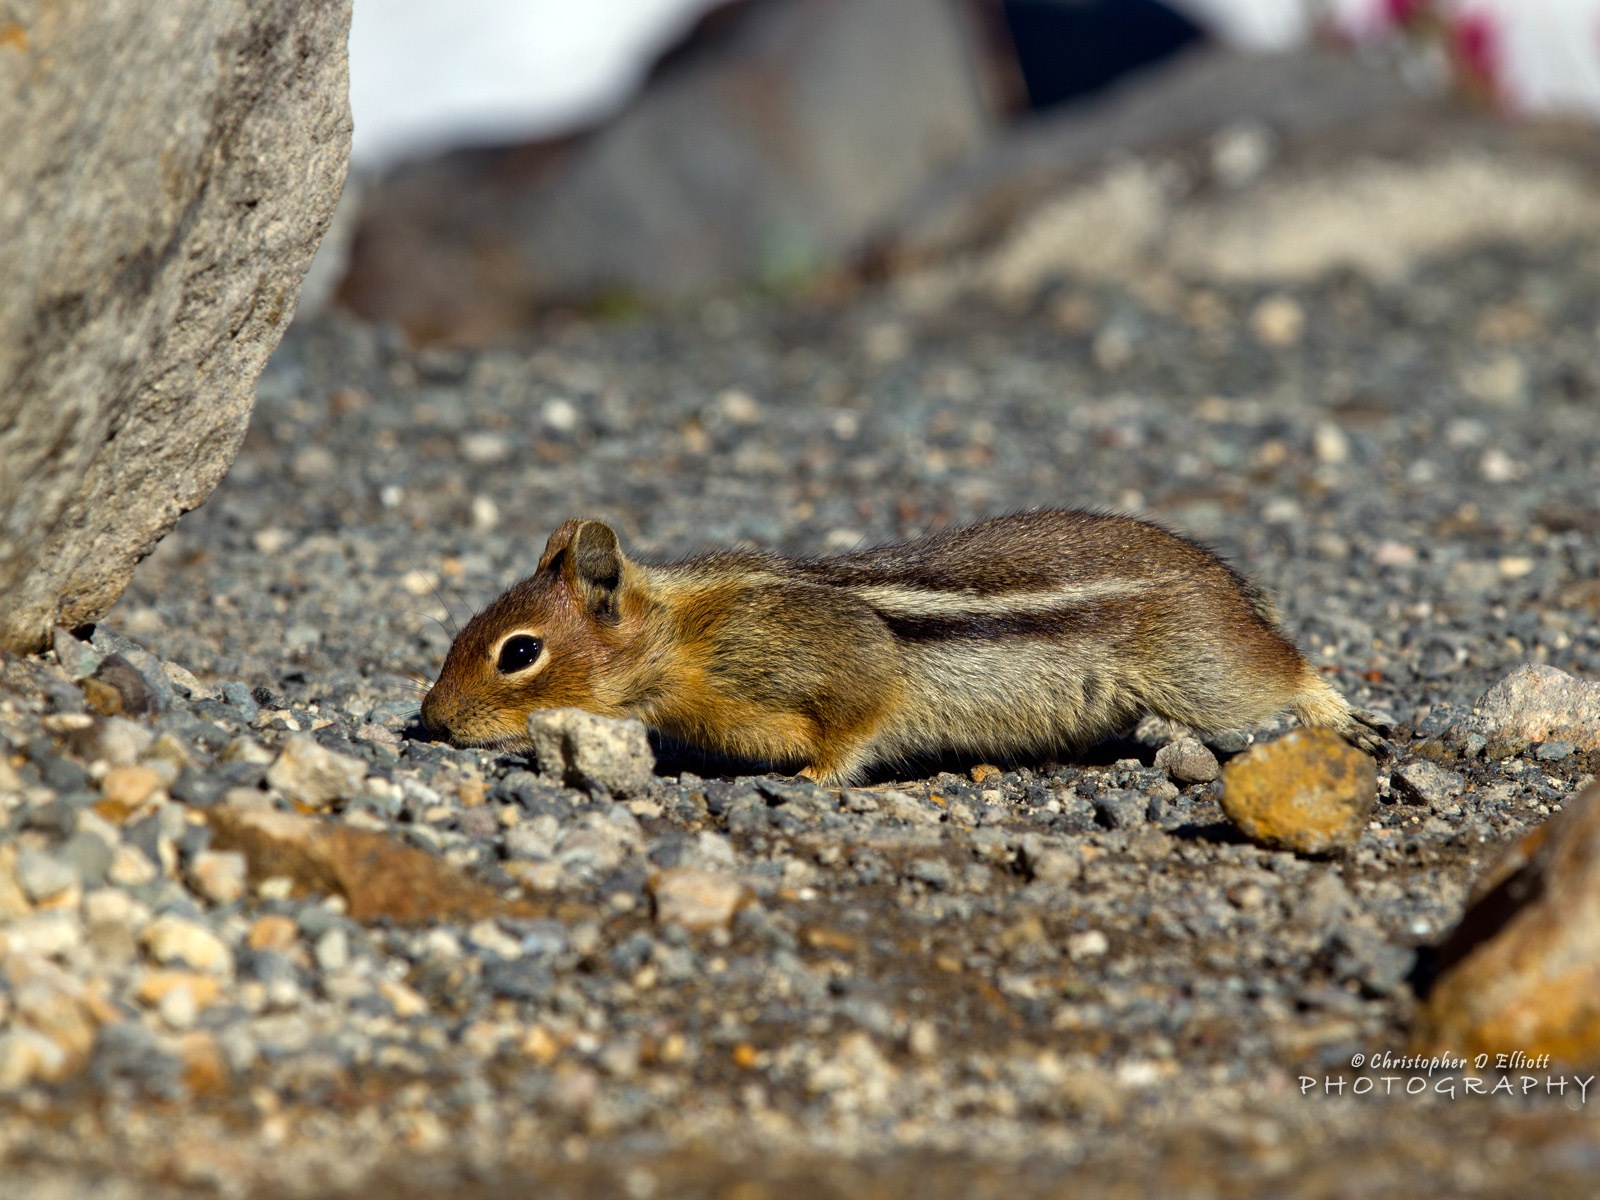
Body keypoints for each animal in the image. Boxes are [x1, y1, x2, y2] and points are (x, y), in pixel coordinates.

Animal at [422, 508, 1388, 784]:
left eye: (518, 653)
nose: (428, 722)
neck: (683, 637)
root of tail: (1229, 583)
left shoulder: (847, 666)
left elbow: (857, 723)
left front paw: (814, 781)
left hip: (1208, 673)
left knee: (1285, 671)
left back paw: (1348, 717)